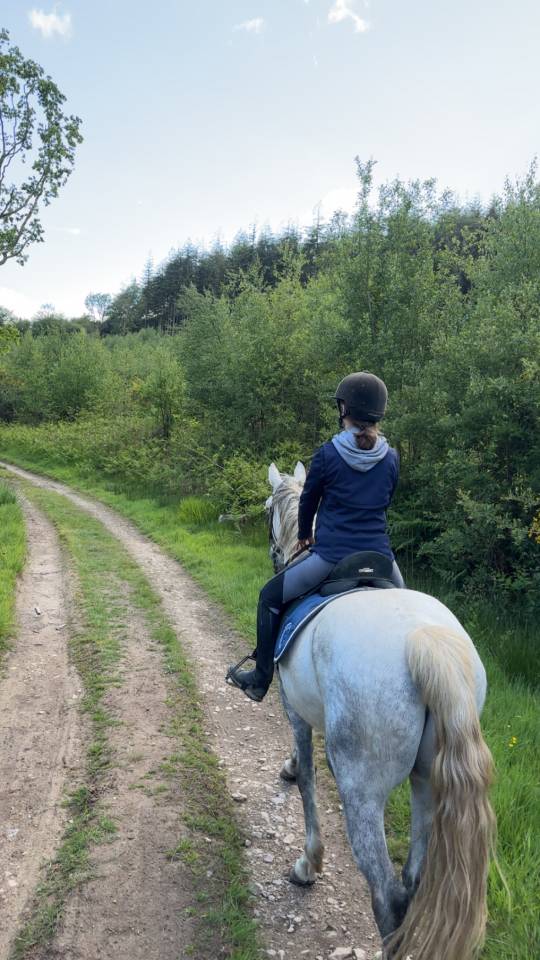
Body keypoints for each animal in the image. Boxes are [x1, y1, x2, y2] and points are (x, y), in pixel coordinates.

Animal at [266, 461, 496, 960]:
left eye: (267, 507)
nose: (274, 552)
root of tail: (422, 642)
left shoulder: (293, 706)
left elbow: (308, 778)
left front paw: (308, 863)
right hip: (429, 783)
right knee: (412, 881)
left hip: (363, 790)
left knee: (388, 897)